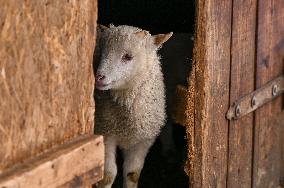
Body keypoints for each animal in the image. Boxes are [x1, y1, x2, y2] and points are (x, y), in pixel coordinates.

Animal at [94, 24, 172, 188]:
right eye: (101, 53)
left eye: (128, 56)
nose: (99, 77)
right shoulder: (105, 133)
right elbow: (108, 175)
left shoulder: (143, 141)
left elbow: (132, 175)